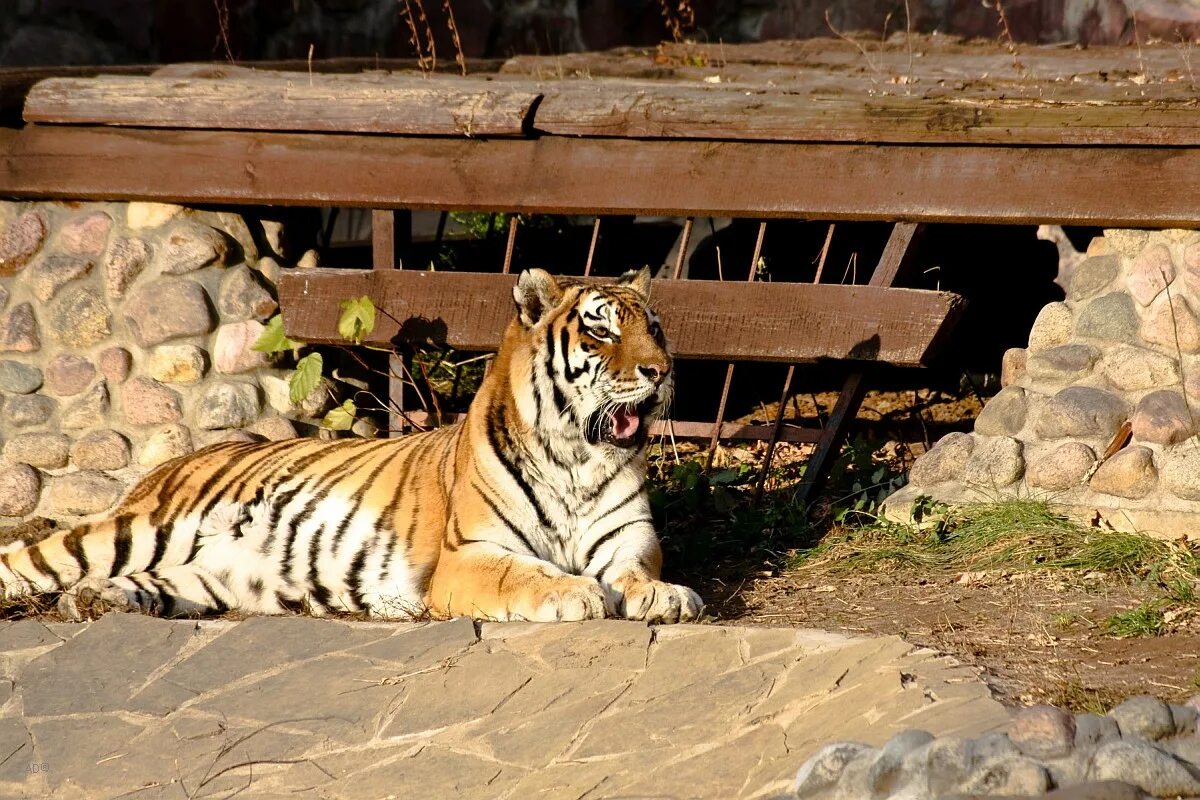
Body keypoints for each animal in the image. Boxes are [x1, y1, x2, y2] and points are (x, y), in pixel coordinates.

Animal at [0, 268, 700, 623]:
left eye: (655, 329)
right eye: (601, 332)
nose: (662, 371)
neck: (576, 456)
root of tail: (163, 468)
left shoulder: (627, 542)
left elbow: (637, 574)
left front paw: (666, 596)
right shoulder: (468, 557)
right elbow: (525, 573)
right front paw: (574, 593)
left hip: (203, 574)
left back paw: (96, 600)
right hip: (139, 528)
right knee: (27, 561)